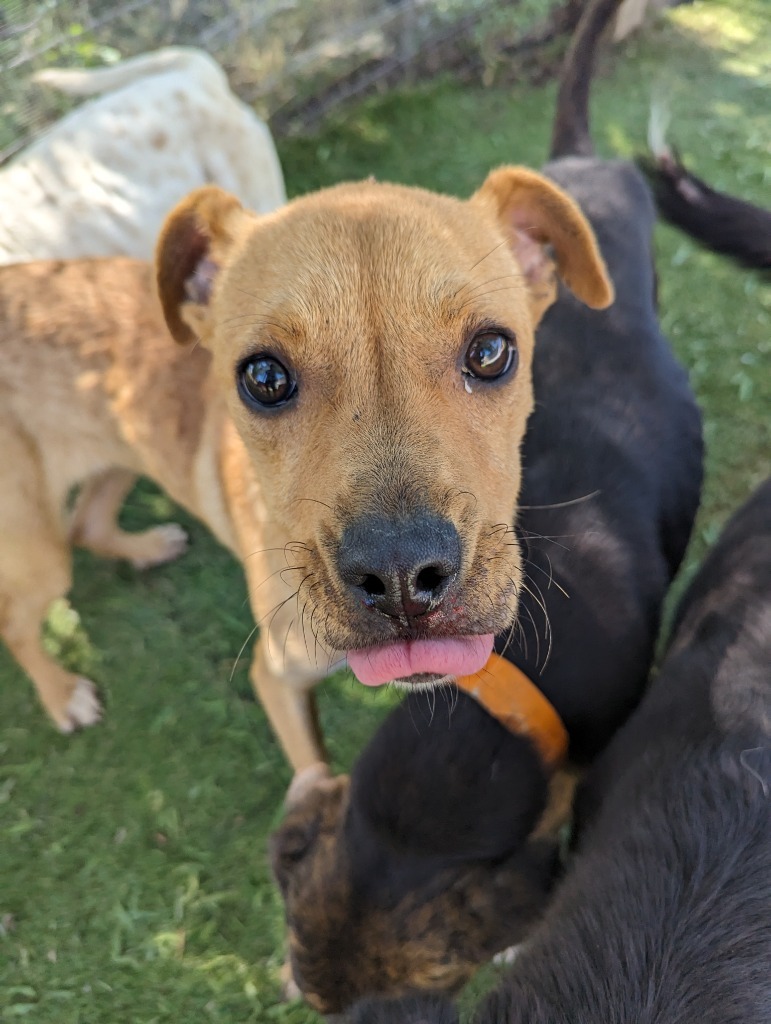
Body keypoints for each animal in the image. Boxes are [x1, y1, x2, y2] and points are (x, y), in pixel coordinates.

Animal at [1, 172, 614, 770]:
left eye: (489, 352)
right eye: (265, 378)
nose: (401, 579)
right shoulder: (275, 676)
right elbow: (314, 766)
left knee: (87, 521)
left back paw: (148, 547)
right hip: (36, 547)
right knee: (17, 619)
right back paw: (63, 695)